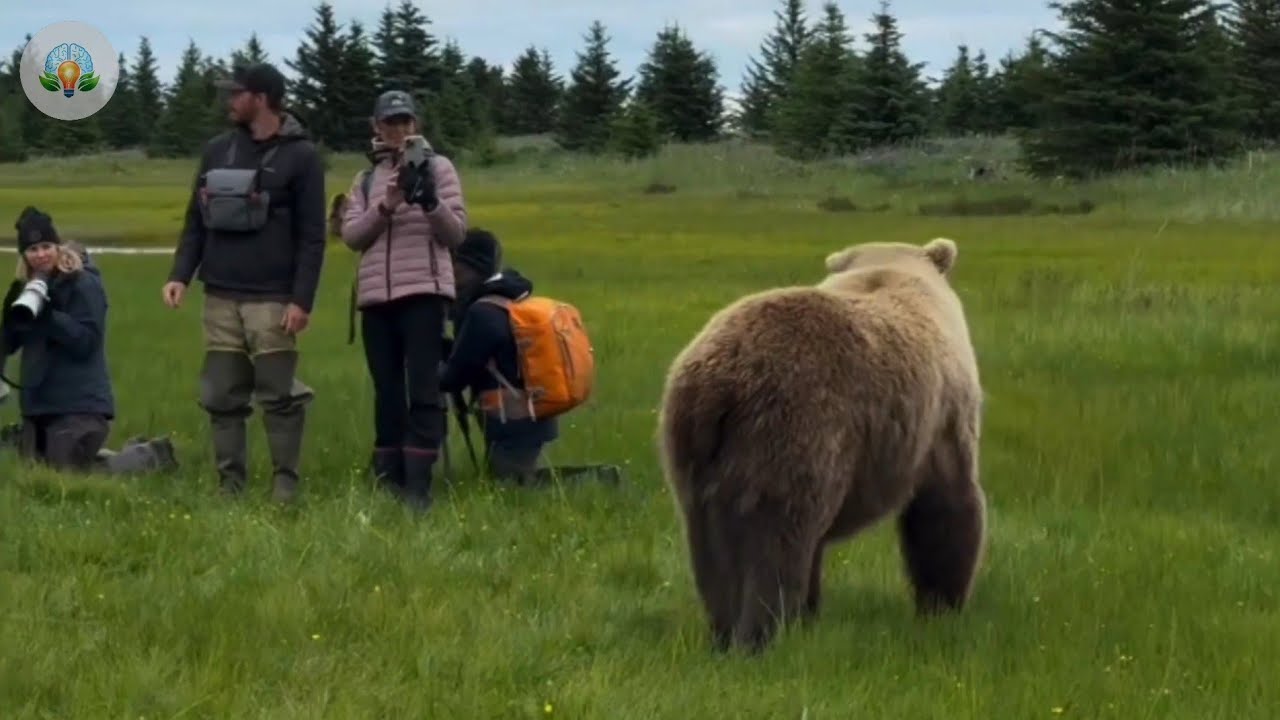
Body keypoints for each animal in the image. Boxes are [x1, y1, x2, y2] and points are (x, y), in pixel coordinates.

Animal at [656, 236, 986, 653]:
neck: (889, 270)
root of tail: (717, 386)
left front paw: (809, 613)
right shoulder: (941, 419)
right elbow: (946, 506)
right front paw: (943, 604)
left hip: (693, 454)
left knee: (710, 549)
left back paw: (724, 633)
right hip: (791, 429)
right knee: (775, 542)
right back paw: (758, 637)